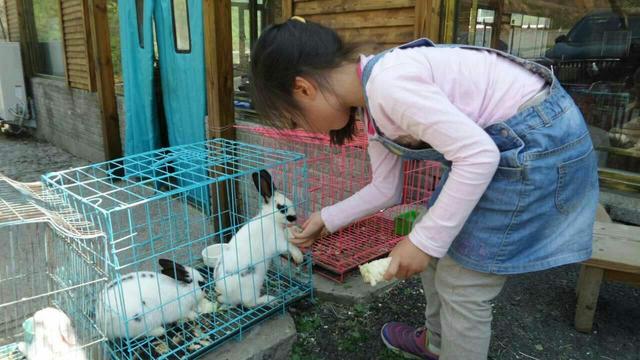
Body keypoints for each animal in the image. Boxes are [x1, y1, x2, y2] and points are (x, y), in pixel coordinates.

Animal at [214, 171, 304, 306]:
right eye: (282, 208)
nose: (294, 218)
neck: (270, 218)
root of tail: (225, 293)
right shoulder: (277, 241)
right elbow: (288, 246)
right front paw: (299, 256)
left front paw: (297, 231)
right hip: (252, 285)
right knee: (249, 303)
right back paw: (270, 299)